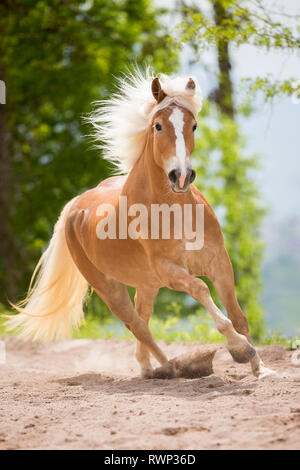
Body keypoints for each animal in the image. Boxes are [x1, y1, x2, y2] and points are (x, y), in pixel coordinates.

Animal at [6, 70, 274, 380]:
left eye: (193, 126)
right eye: (158, 126)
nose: (181, 176)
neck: (174, 210)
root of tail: (74, 207)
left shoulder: (219, 262)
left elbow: (238, 315)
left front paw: (260, 367)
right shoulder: (171, 271)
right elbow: (202, 291)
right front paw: (240, 349)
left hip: (147, 284)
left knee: (142, 319)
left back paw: (150, 368)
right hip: (109, 288)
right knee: (137, 325)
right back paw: (171, 367)